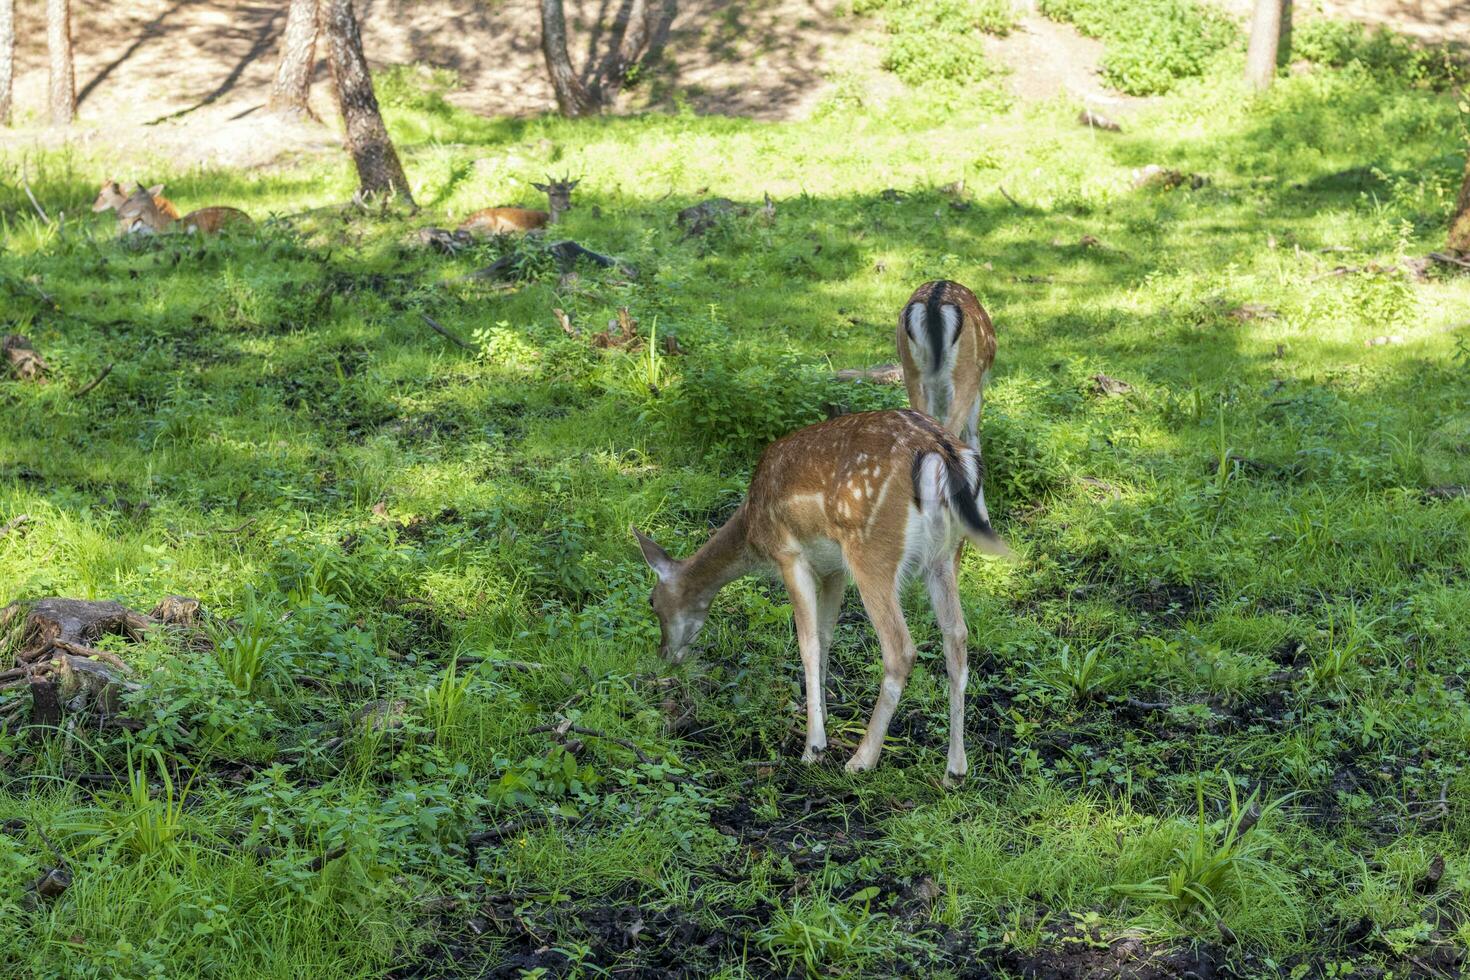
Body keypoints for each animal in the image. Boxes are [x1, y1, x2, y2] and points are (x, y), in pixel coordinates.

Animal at [632, 405, 1011, 781]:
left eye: (653, 603)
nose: (664, 655)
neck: (753, 530)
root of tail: (941, 453)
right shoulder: (833, 568)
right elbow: (827, 634)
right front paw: (822, 715)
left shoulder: (789, 555)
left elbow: (808, 642)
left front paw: (813, 746)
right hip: (945, 556)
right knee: (957, 636)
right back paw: (955, 770)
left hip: (872, 552)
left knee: (901, 649)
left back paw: (861, 759)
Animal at [893, 276, 999, 452]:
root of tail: (933, 304)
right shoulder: (978, 386)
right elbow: (973, 432)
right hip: (967, 373)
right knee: (953, 430)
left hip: (911, 371)